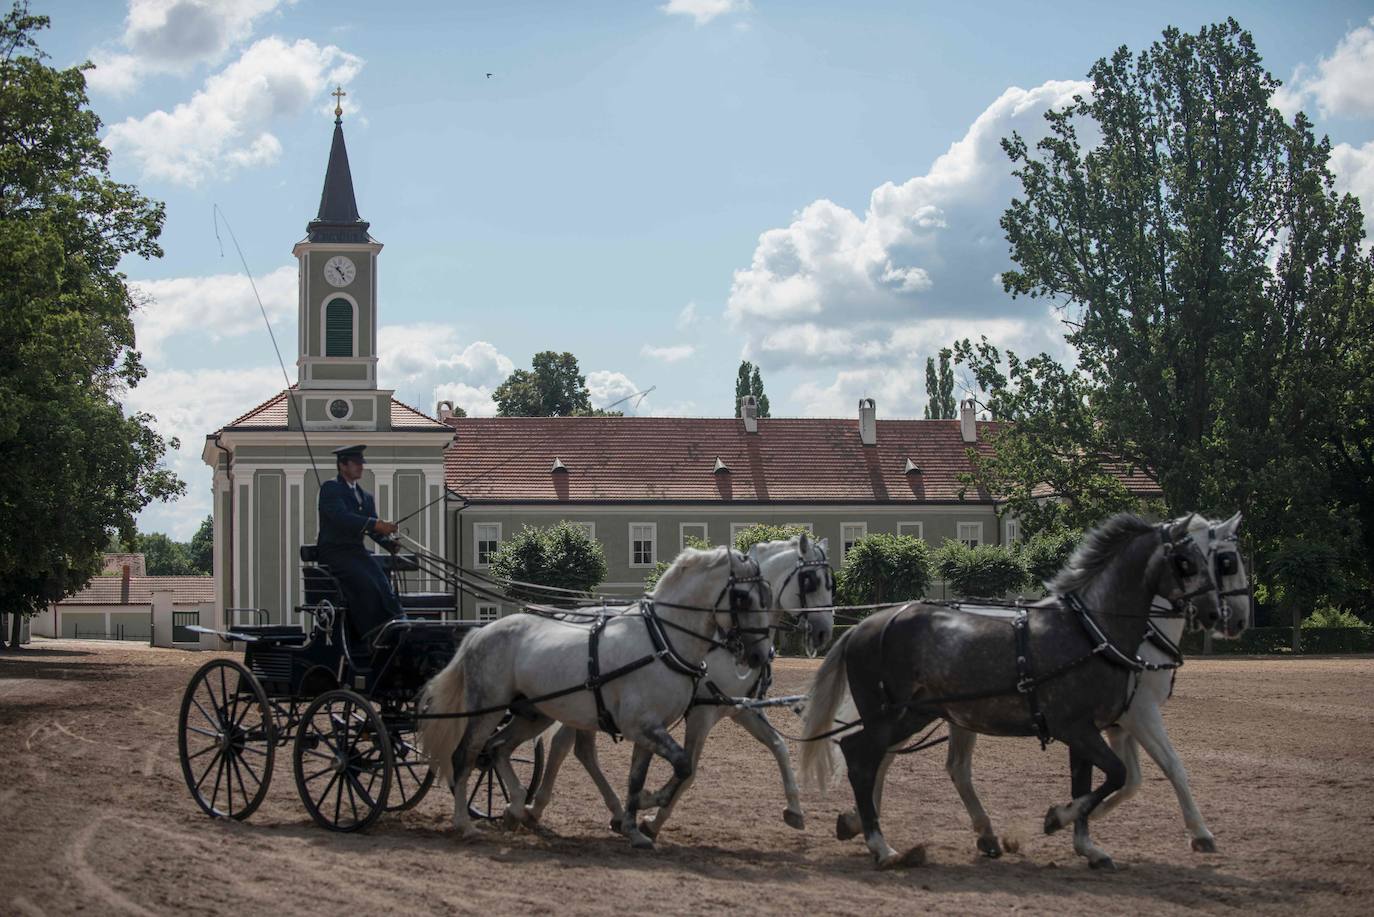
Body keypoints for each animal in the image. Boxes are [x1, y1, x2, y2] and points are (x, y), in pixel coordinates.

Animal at [417, 541, 774, 852]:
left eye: (766, 596)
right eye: (743, 597)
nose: (759, 655)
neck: (662, 641)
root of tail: (481, 631)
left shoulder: (649, 731)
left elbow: (638, 778)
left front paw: (633, 827)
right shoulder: (641, 726)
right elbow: (683, 765)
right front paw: (648, 803)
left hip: (533, 714)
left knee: (497, 749)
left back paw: (517, 806)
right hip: (488, 708)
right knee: (466, 755)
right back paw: (465, 823)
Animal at [516, 538, 829, 841]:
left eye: (830, 582)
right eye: (810, 580)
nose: (824, 631)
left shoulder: (741, 709)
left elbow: (779, 747)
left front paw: (795, 810)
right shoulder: (702, 713)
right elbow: (688, 771)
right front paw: (653, 819)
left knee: (578, 750)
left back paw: (607, 811)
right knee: (563, 747)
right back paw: (536, 807)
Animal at [829, 516, 1253, 868]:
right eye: (1212, 560)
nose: (1226, 616)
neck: (1093, 631)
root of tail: (865, 625)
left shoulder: (1099, 725)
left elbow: (1102, 781)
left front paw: (1086, 842)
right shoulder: (1105, 721)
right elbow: (1135, 772)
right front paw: (1060, 817)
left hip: (924, 713)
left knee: (896, 760)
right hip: (895, 713)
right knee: (864, 757)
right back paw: (878, 842)